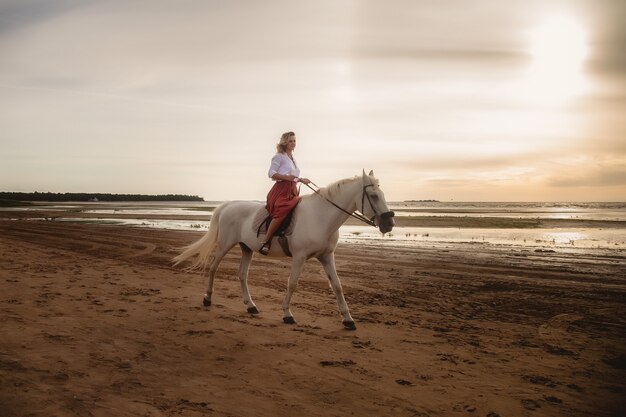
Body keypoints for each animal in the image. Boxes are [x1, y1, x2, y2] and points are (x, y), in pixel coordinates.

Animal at [173, 169, 392, 328]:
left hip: (246, 248)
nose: (389, 224)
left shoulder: (327, 257)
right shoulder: (299, 257)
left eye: (382, 194)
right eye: (373, 195)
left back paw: (250, 306)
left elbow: (337, 286)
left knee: (242, 275)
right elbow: (292, 283)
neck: (320, 217)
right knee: (213, 268)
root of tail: (228, 205)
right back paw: (207, 299)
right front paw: (287, 314)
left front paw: (348, 319)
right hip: (225, 245)